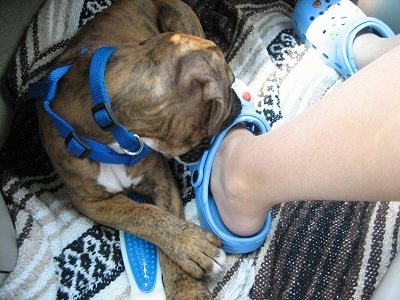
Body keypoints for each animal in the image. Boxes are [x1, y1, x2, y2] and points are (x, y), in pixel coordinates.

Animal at [34, 0, 239, 298]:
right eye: (229, 85)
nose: (238, 104)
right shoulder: (90, 202)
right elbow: (142, 215)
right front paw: (193, 245)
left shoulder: (161, 182)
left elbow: (164, 216)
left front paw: (185, 286)